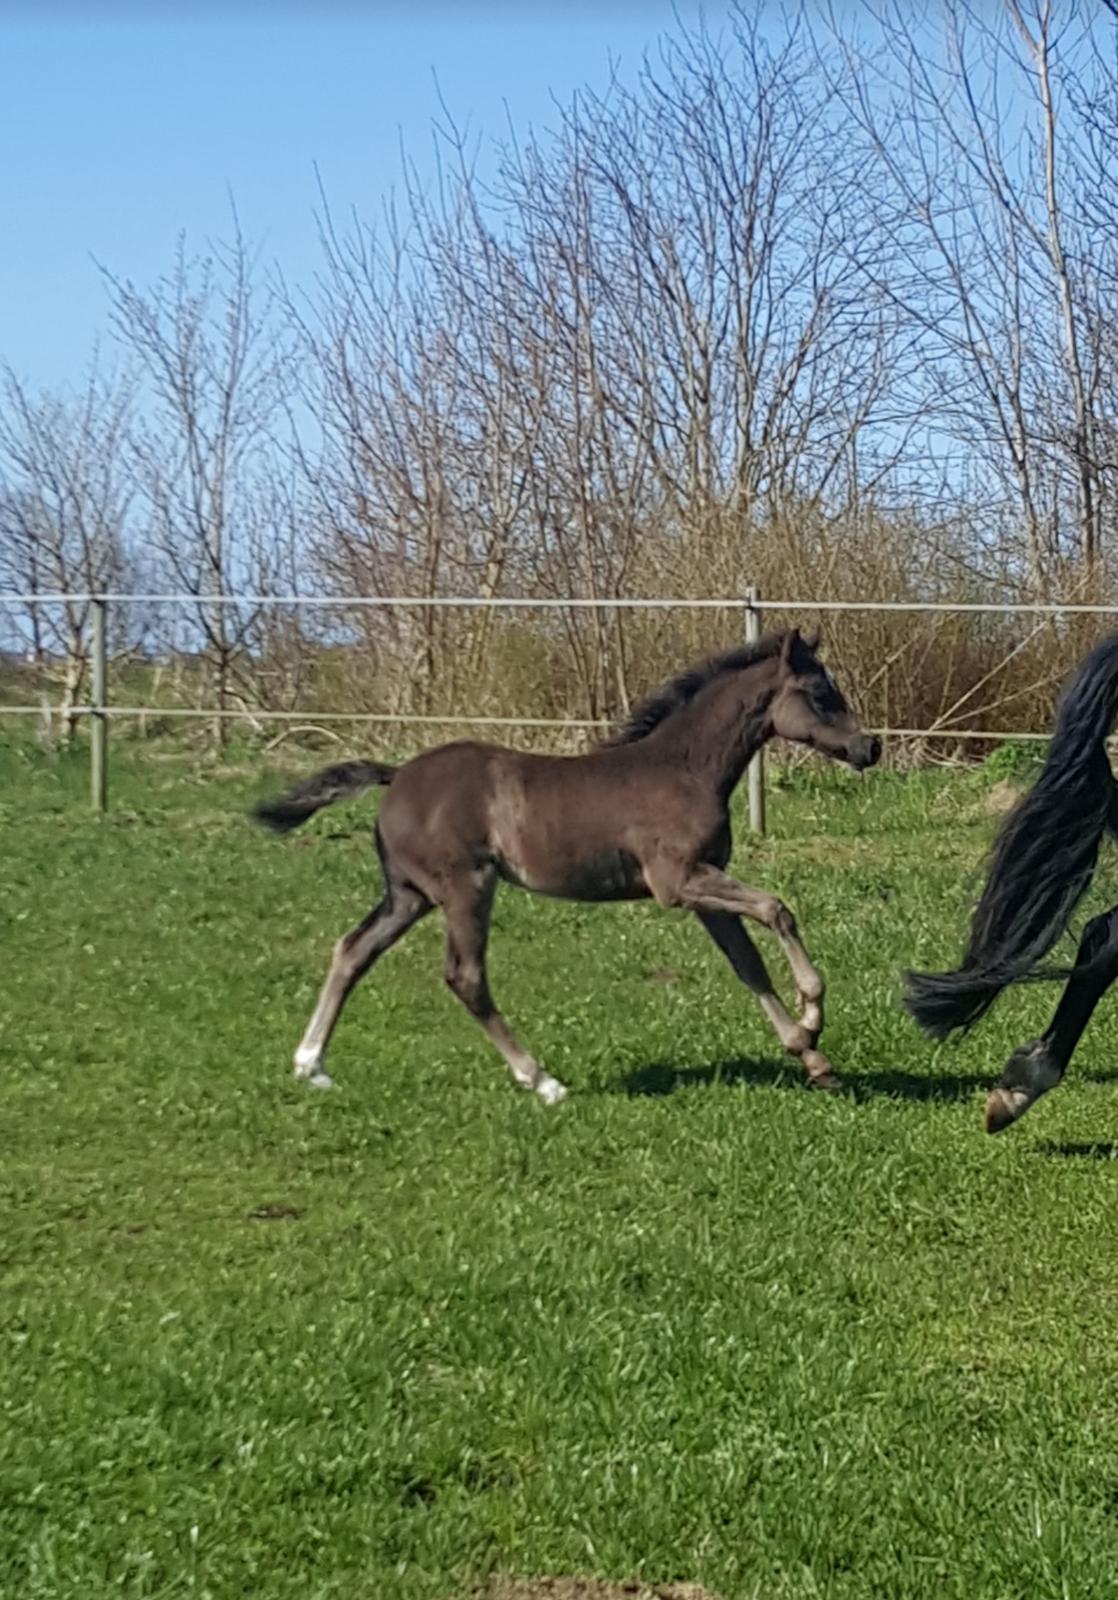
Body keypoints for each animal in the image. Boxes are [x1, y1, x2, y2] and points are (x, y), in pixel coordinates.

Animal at [255, 630, 882, 1107]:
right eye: (820, 693)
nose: (869, 748)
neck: (685, 768)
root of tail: (396, 775)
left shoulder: (704, 889)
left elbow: (747, 965)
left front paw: (813, 1059)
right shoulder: (678, 883)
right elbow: (778, 910)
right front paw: (813, 1016)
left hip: (409, 894)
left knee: (352, 950)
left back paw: (310, 1064)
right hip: (465, 887)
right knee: (465, 976)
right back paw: (542, 1081)